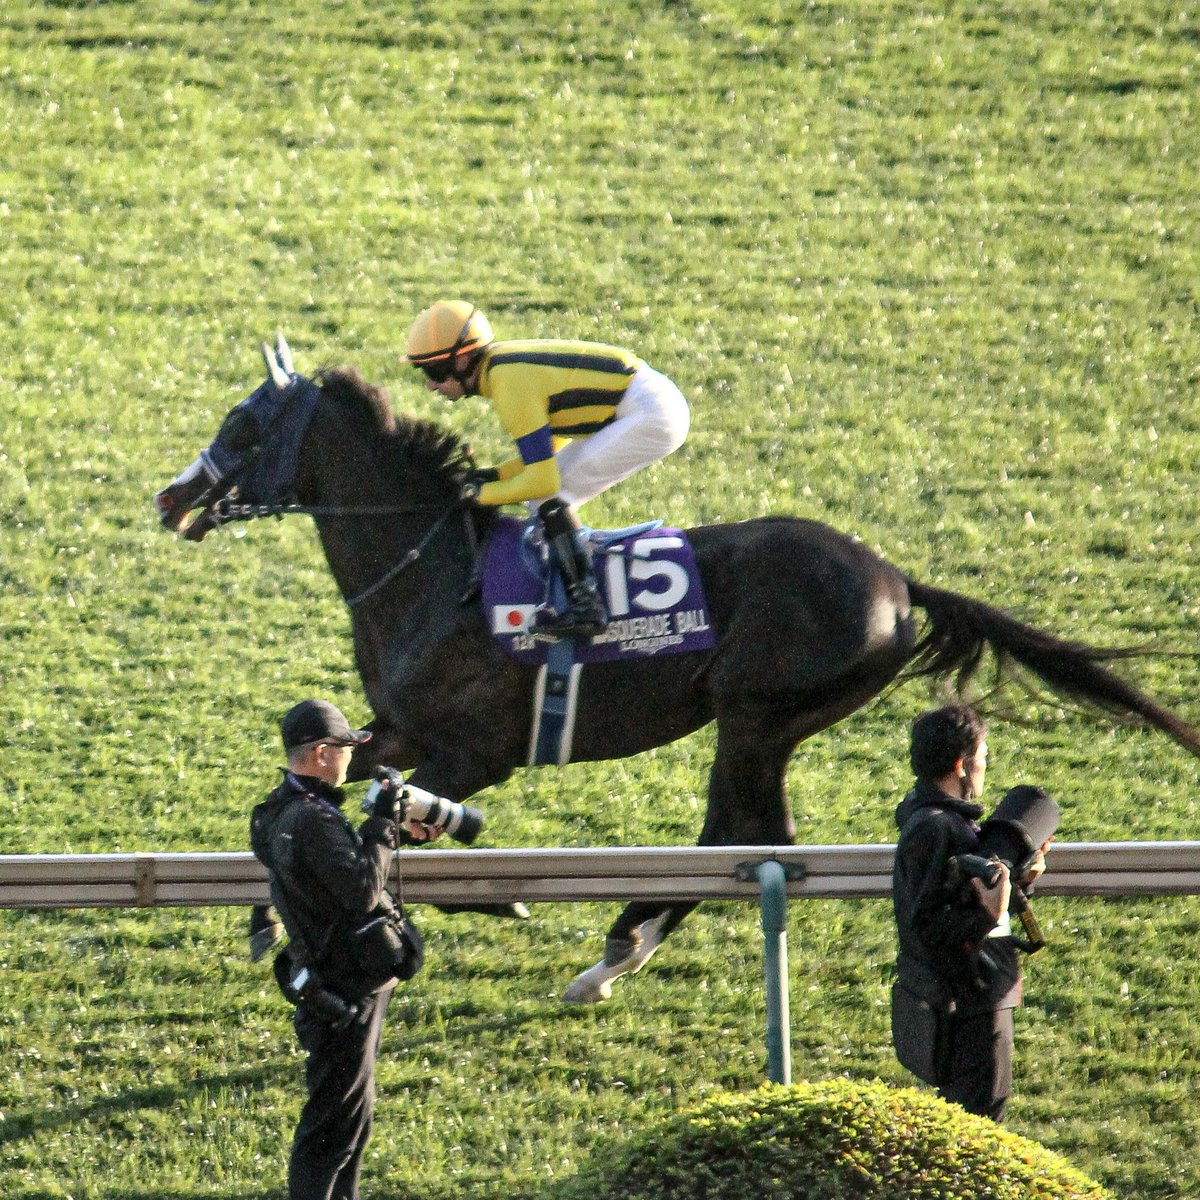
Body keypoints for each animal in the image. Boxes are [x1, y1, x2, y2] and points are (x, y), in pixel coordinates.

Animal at [155, 335, 1200, 1002]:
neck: (431, 568)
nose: (172, 495)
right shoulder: (397, 730)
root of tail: (896, 581)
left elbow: (421, 825)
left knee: (748, 833)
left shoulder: (473, 751)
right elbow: (318, 794)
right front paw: (266, 913)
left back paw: (618, 947)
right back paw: (620, 945)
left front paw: (502, 895)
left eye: (245, 425)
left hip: (756, 714)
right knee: (739, 834)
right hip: (762, 722)